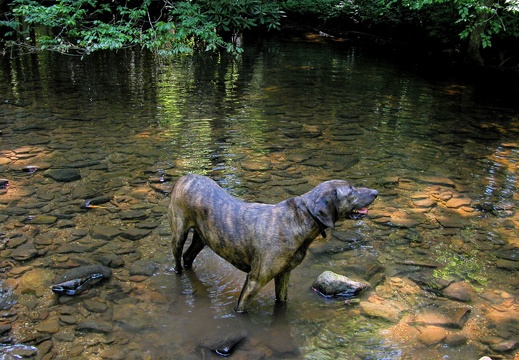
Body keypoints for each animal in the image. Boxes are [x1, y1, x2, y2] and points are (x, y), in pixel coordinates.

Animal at [170, 174, 378, 312]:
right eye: (351, 191)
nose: (376, 192)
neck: (302, 217)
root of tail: (186, 176)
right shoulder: (255, 280)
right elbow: (240, 308)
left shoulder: (284, 274)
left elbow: (281, 301)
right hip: (179, 232)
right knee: (178, 258)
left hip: (202, 238)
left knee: (188, 257)